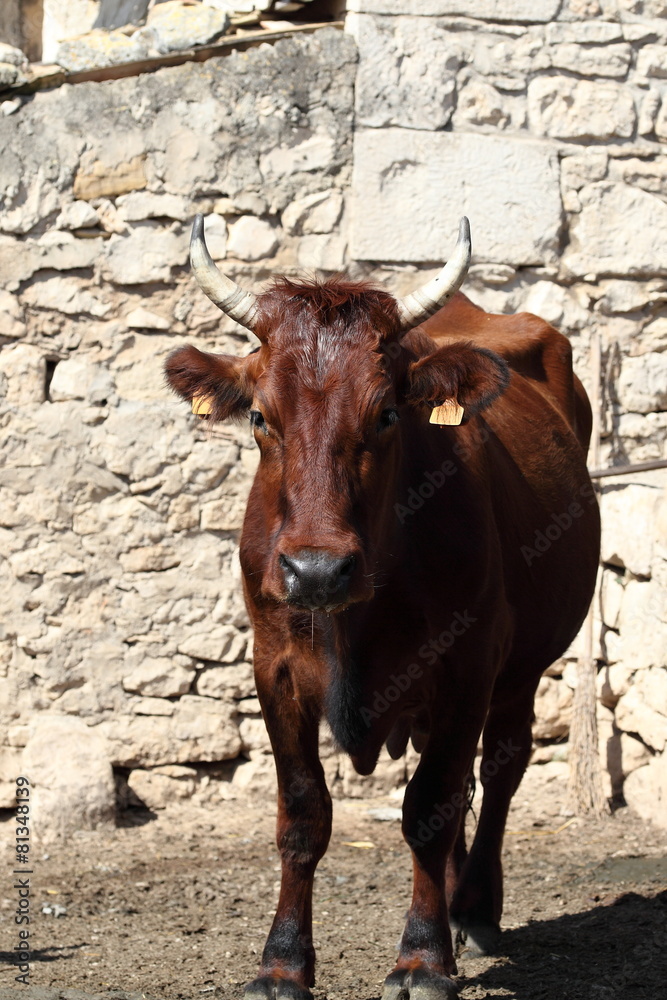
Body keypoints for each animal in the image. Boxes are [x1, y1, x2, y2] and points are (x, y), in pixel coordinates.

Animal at [165, 214, 600, 1000]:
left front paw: (423, 959)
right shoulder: (273, 668)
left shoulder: (468, 664)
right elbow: (303, 814)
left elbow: (429, 808)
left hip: (521, 668)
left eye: (388, 413)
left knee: (498, 770)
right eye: (259, 417)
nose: (316, 569)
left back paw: (473, 909)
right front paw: (281, 964)